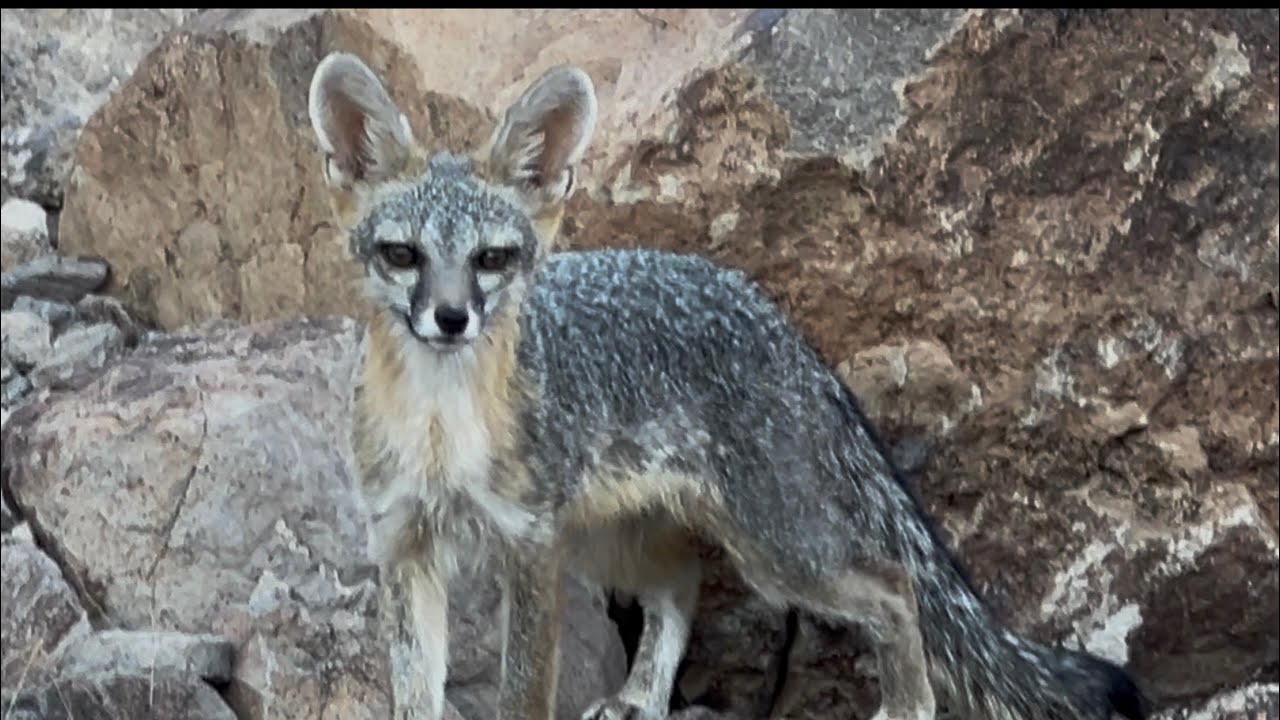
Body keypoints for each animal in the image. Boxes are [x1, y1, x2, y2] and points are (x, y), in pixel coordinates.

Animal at [306, 50, 1149, 720]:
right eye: (403, 255)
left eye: (491, 259)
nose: (450, 319)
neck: (439, 427)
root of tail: (777, 319)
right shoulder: (404, 544)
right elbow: (414, 693)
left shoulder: (528, 549)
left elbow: (521, 695)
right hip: (613, 543)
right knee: (682, 583)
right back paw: (641, 697)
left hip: (776, 548)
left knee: (895, 584)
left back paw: (905, 706)